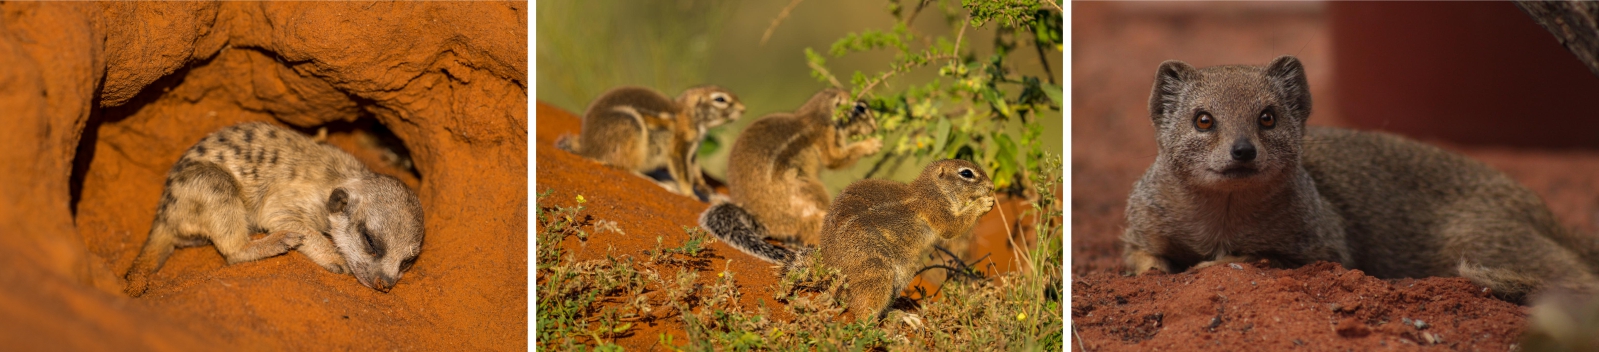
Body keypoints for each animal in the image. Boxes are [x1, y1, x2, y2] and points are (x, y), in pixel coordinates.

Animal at [124, 122, 425, 296]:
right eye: (370, 241)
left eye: (407, 262)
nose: (385, 283)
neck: (341, 176)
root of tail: (164, 214)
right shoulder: (295, 199)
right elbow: (282, 217)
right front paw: (334, 257)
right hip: (208, 183)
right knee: (233, 250)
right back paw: (274, 242)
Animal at [556, 84, 741, 200]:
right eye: (720, 99)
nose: (743, 109)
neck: (689, 114)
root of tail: (587, 148)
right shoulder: (680, 146)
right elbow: (682, 171)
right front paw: (690, 194)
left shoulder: (693, 150)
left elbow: (695, 168)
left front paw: (704, 187)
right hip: (630, 124)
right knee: (626, 167)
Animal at [697, 87, 882, 259]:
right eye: (860, 108)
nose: (874, 127)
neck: (820, 114)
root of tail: (763, 222)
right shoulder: (825, 134)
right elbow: (836, 158)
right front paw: (872, 144)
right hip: (810, 191)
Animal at [1119, 55, 1599, 302]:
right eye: (1203, 120)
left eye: (1267, 117)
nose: (1243, 150)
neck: (1220, 222)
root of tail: (1544, 213)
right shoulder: (1141, 222)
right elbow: (1140, 258)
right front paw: (1157, 271)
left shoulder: (1326, 245)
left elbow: (1258, 256)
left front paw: (1208, 265)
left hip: (1479, 238)